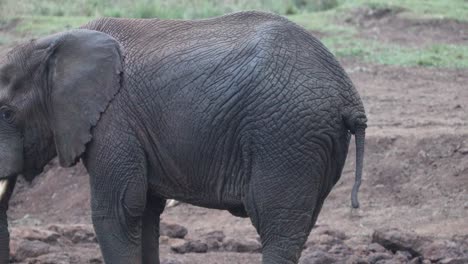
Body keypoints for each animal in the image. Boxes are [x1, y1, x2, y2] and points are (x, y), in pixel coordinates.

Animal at [0, 10, 366, 264]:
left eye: (5, 113)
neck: (53, 43)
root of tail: (349, 96)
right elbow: (146, 211)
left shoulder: (114, 120)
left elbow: (118, 209)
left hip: (285, 135)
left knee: (278, 226)